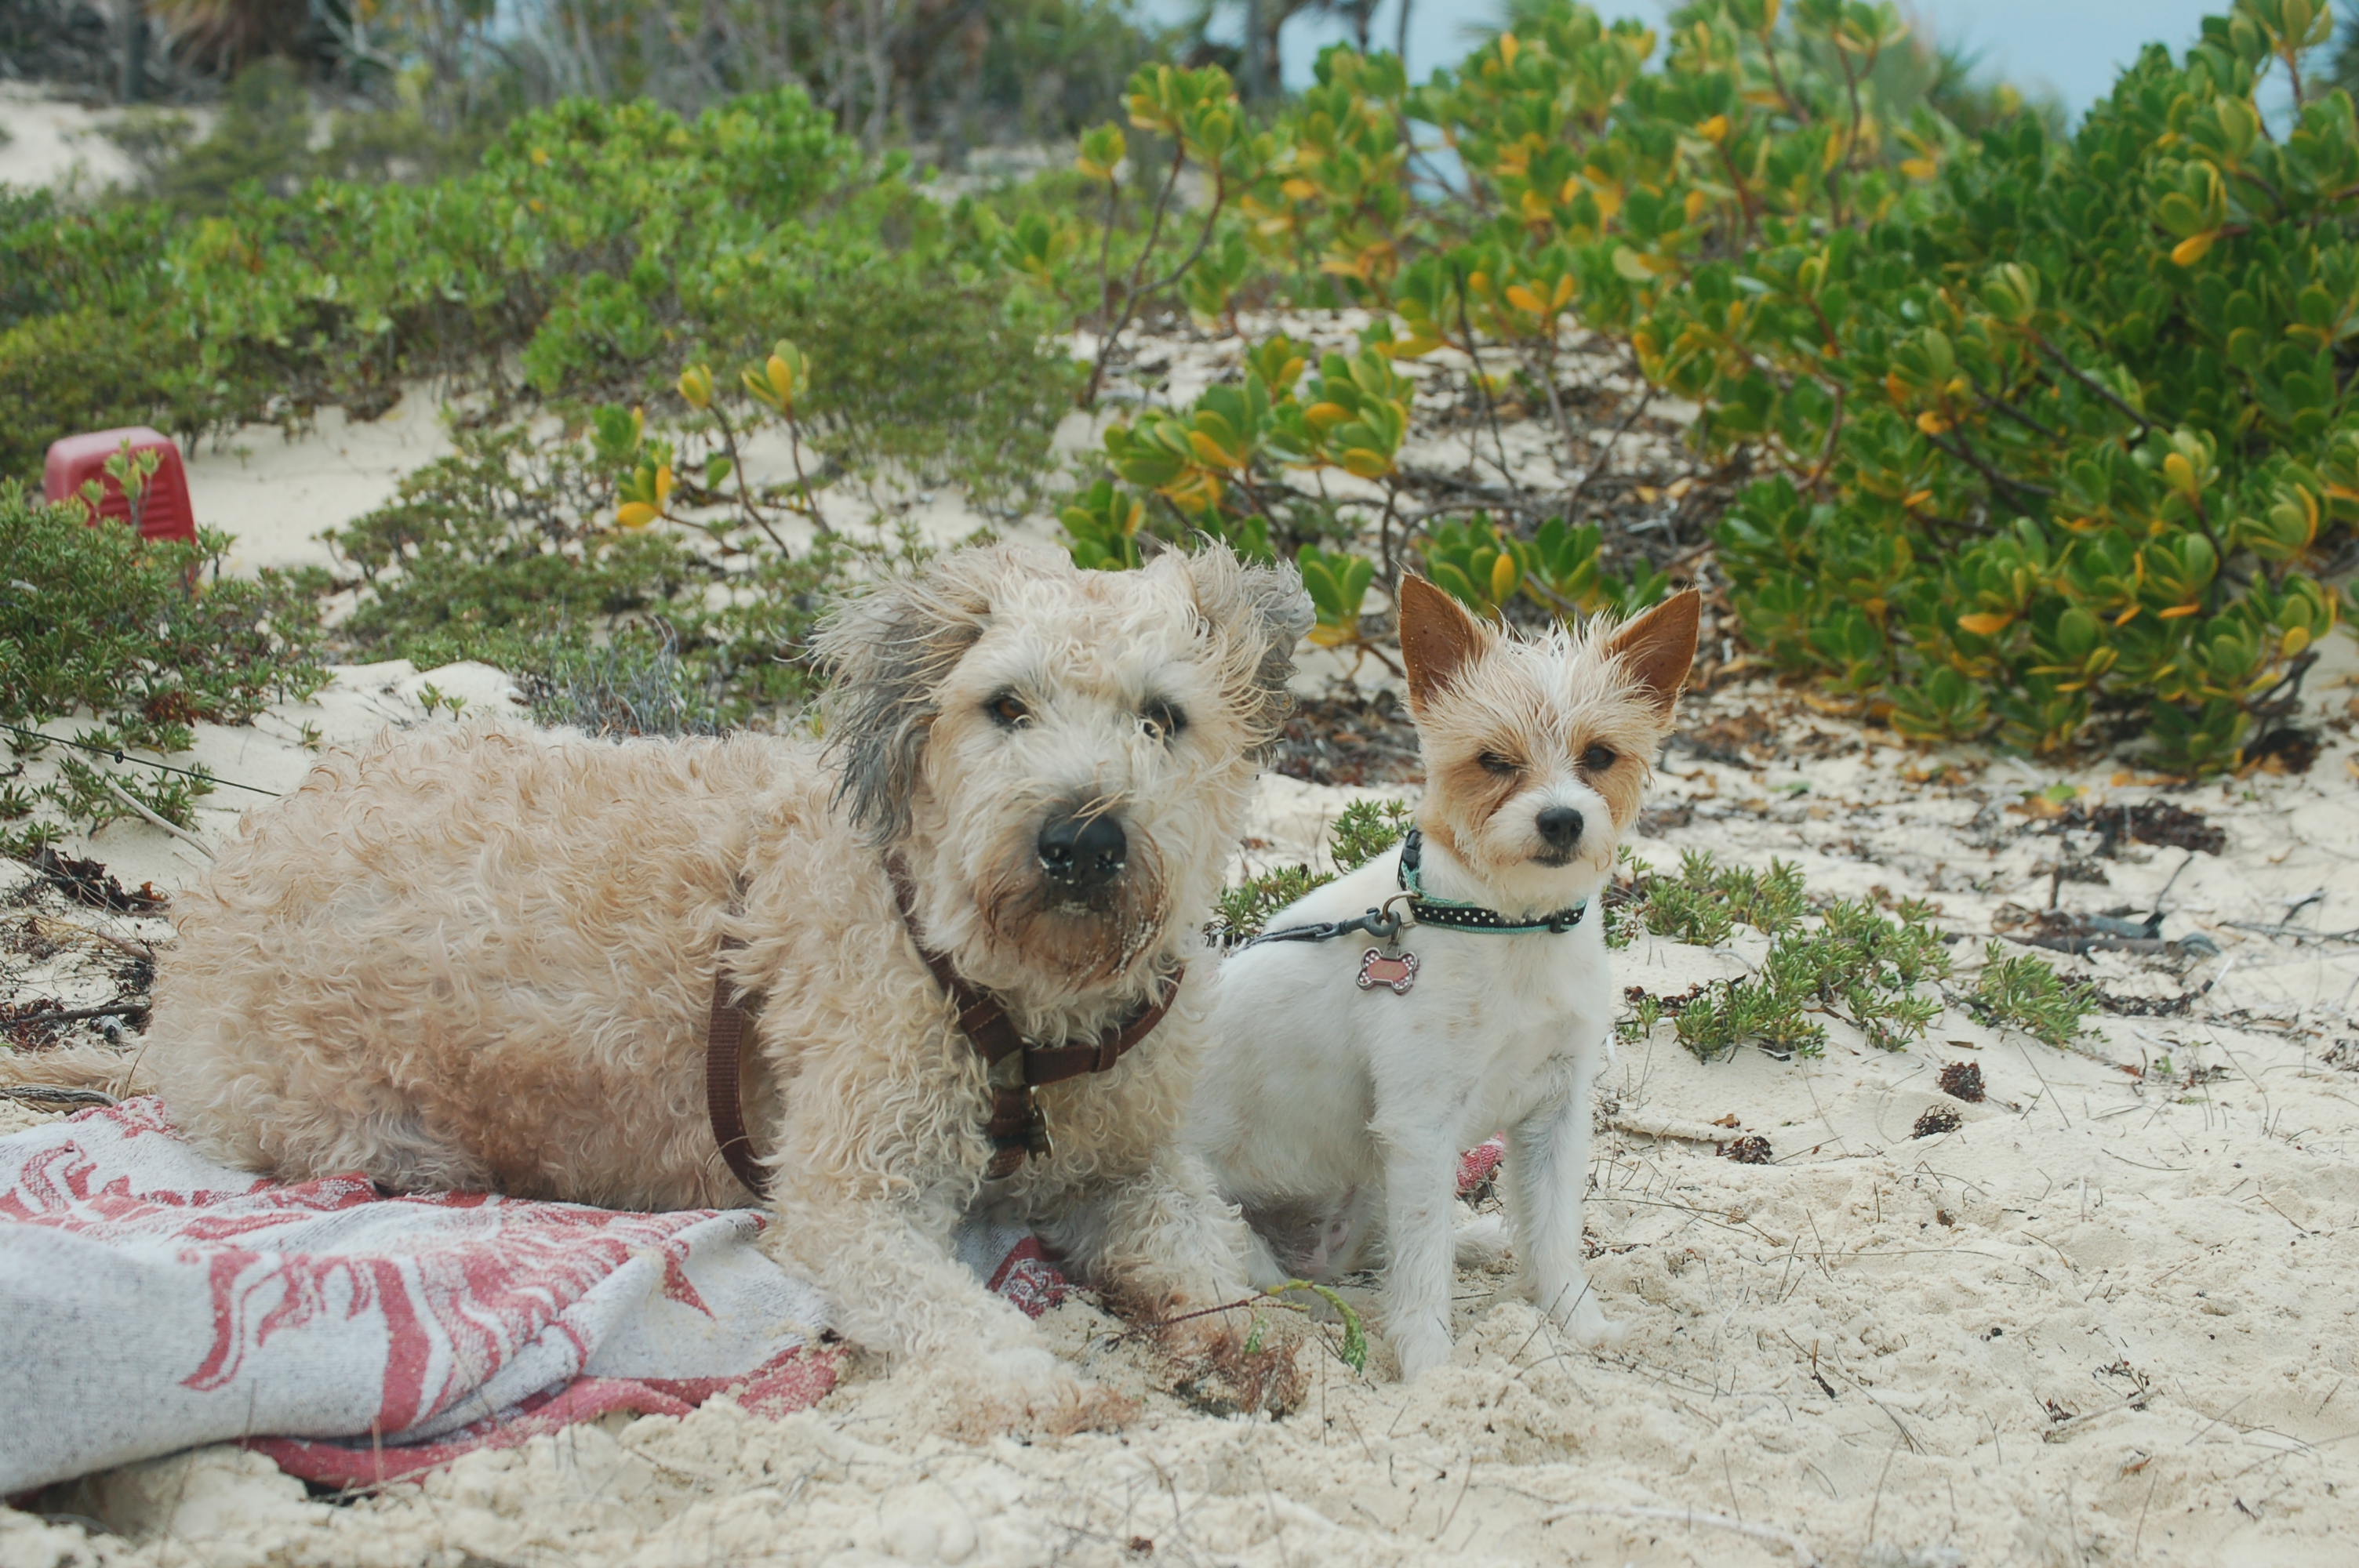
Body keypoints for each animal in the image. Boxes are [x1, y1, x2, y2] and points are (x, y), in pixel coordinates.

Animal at [48, 541, 1311, 1423]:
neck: (1021, 1009)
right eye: (1005, 705)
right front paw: (1037, 1380)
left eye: (1163, 716)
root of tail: (214, 899)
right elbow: (950, 1306)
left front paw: (1252, 1340)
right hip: (359, 1129)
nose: (1081, 839)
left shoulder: (1138, 1165)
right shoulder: (851, 1197)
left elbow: (1203, 1249)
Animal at [1189, 576, 1699, 1381]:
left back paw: (1479, 1241)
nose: (1561, 821)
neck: (1506, 924)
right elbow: (1424, 1270)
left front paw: (1580, 1327)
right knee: (1301, 1287)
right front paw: (1432, 1368)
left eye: (1600, 755)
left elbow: (1554, 1236)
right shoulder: (1421, 1127)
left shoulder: (1554, 1114)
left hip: (1371, 1183)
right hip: (1233, 1217)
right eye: (1493, 760)